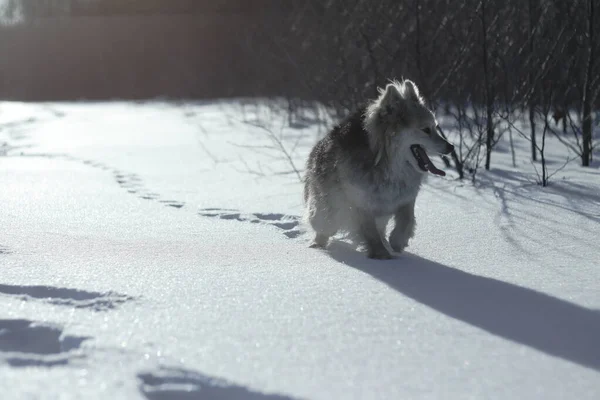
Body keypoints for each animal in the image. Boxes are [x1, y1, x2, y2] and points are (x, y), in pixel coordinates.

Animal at [302, 79, 452, 260]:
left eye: (436, 127)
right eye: (426, 130)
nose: (451, 147)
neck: (388, 164)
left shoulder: (405, 198)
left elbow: (407, 219)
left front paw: (397, 241)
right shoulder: (361, 203)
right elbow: (370, 232)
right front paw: (381, 255)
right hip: (326, 213)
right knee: (323, 229)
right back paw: (317, 245)